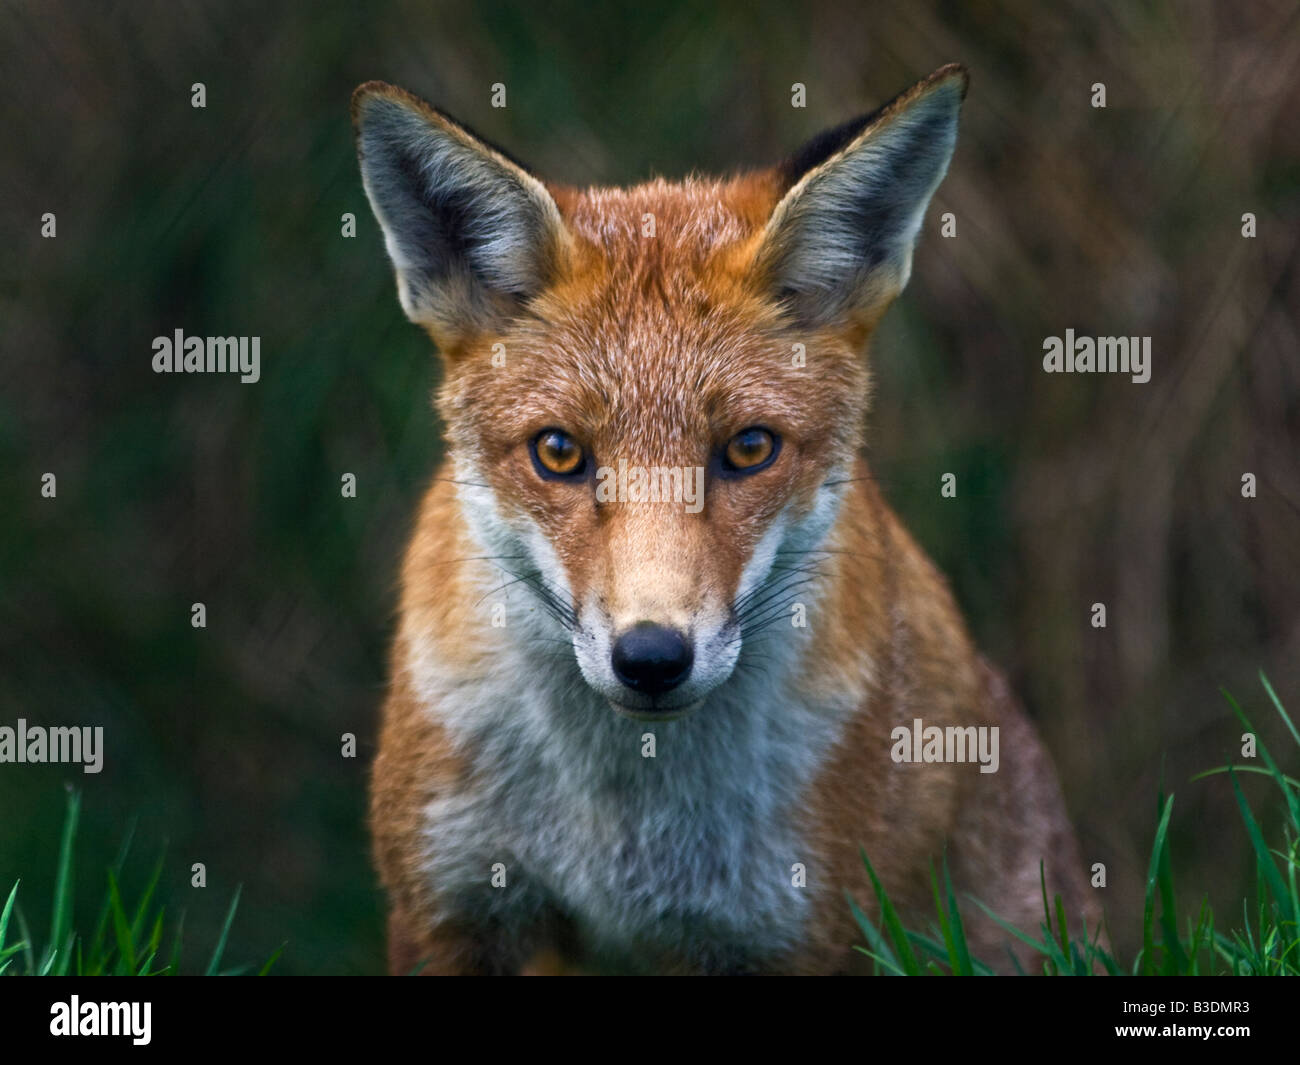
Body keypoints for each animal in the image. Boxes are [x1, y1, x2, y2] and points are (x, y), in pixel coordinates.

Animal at [352, 63, 1100, 975]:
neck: (622, 827)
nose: (651, 657)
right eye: (559, 451)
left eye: (748, 448)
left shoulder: (790, 934)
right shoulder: (448, 908)